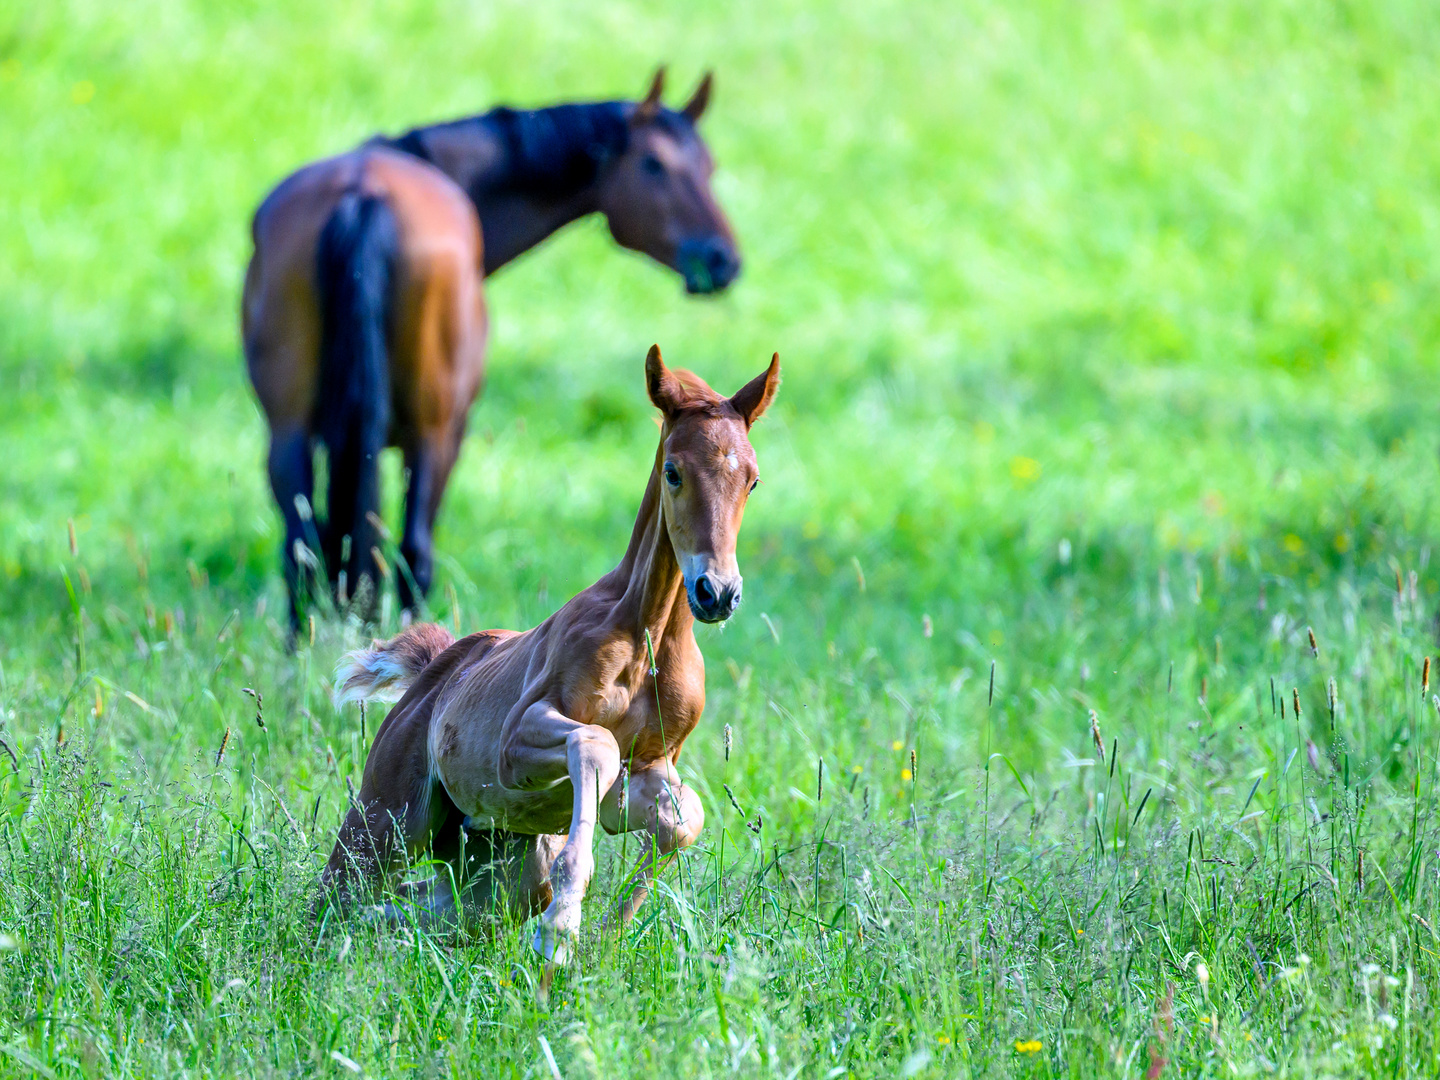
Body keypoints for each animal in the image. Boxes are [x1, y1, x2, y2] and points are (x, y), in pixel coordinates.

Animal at [241, 72, 737, 630]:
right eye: (654, 164)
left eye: (709, 167)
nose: (722, 258)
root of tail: (364, 193)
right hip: (433, 435)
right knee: (413, 552)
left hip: (289, 432)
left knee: (299, 551)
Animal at [322, 348, 783, 973]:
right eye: (674, 472)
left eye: (752, 480)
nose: (718, 593)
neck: (647, 638)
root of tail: (437, 666)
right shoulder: (516, 742)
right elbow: (596, 742)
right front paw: (561, 931)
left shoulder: (648, 771)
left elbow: (682, 818)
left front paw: (607, 934)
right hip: (386, 823)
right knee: (335, 897)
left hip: (499, 869)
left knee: (427, 906)